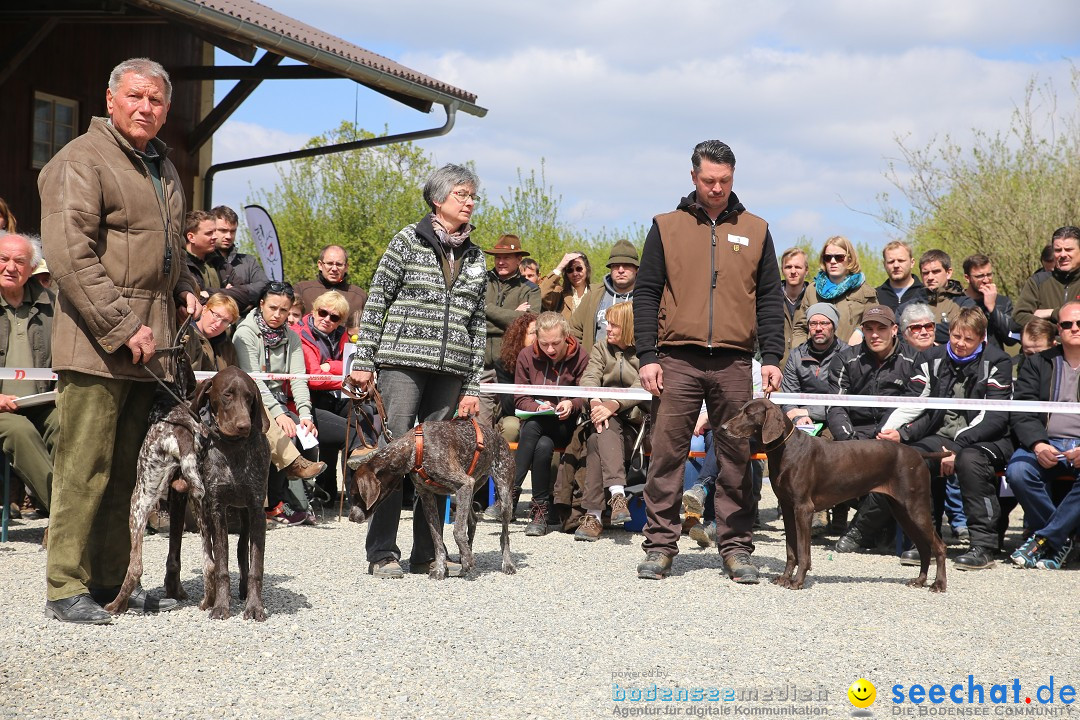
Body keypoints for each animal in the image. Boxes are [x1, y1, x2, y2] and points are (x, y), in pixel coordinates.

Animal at [345, 416, 514, 578]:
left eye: (355, 495)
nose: (351, 518)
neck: (415, 449)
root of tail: (498, 435)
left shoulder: (464, 484)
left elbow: (457, 531)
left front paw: (465, 559)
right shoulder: (427, 496)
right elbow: (436, 538)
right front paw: (440, 569)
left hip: (503, 496)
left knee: (504, 535)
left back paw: (507, 564)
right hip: (472, 490)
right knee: (473, 520)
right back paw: (464, 554)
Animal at [725, 399, 946, 591]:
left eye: (749, 413)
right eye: (740, 410)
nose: (724, 427)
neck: (787, 449)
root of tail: (918, 454)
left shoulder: (803, 509)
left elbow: (803, 552)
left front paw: (797, 581)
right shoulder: (788, 508)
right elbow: (791, 550)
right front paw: (785, 577)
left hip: (915, 507)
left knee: (939, 546)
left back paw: (939, 584)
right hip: (902, 511)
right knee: (925, 547)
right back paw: (919, 580)